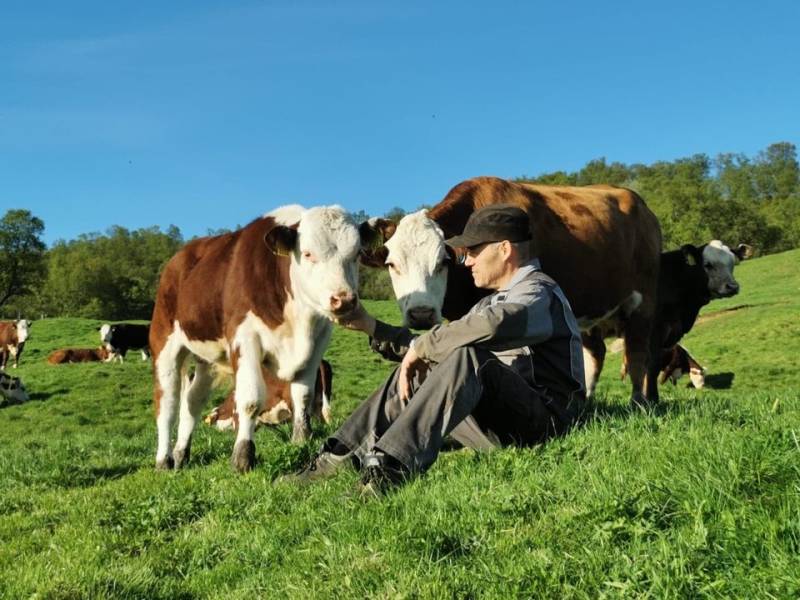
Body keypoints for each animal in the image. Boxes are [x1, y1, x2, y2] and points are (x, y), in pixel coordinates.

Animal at [362, 176, 664, 406]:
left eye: (443, 262)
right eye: (392, 264)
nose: (421, 314)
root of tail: (640, 204)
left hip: (644, 302)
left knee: (640, 353)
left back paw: (641, 401)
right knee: (595, 352)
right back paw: (590, 400)